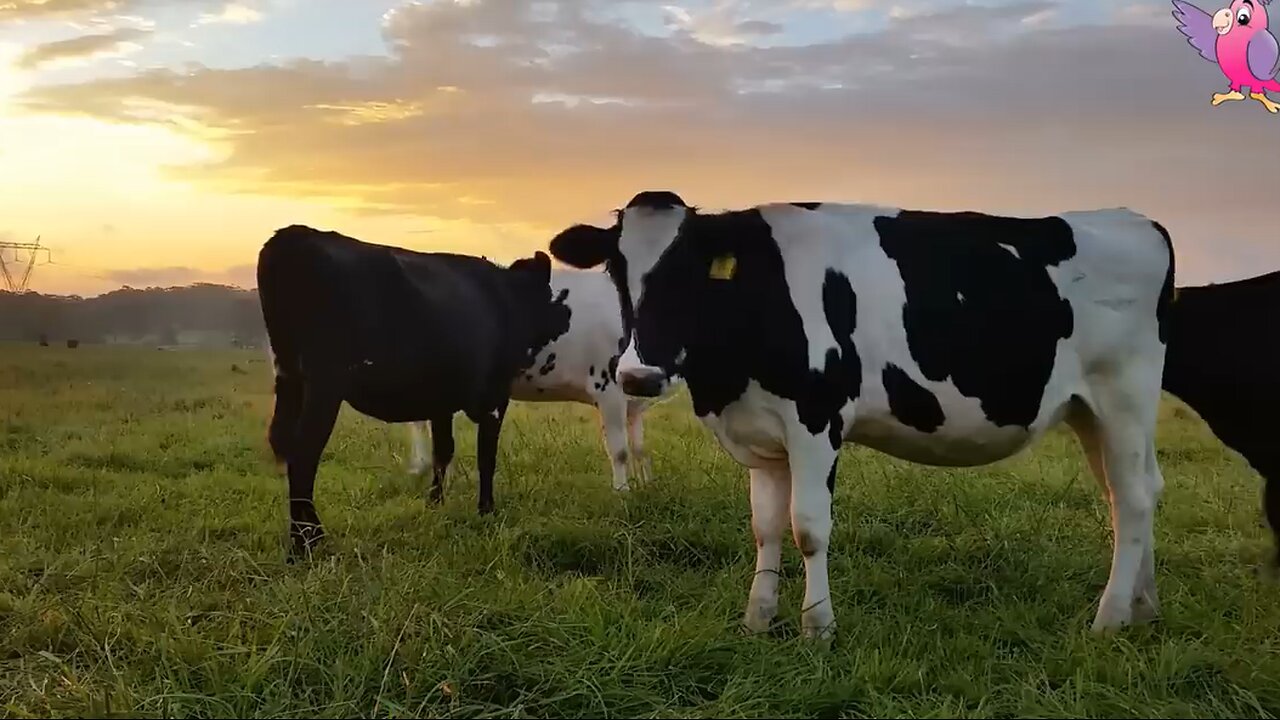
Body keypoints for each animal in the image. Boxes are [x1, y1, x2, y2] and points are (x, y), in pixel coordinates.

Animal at [257, 224, 568, 556]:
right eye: (548, 293)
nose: (565, 317)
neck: (506, 300)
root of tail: (296, 235)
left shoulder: (441, 402)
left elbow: (443, 450)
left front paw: (435, 502)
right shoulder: (496, 397)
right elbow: (487, 456)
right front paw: (486, 509)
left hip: (289, 377)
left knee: (286, 443)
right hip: (324, 383)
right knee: (304, 452)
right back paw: (305, 542)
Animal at [404, 266, 686, 489]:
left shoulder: (634, 402)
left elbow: (640, 448)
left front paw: (647, 485)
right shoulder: (608, 388)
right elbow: (620, 451)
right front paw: (622, 494)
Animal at [545, 189, 1172, 632]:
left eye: (692, 273)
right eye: (617, 271)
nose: (638, 376)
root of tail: (1136, 220)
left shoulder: (816, 421)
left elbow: (808, 528)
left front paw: (817, 627)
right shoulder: (762, 434)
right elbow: (764, 527)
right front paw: (757, 619)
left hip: (1125, 395)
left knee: (1134, 500)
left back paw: (1108, 618)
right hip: (1089, 410)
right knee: (1130, 493)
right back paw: (1142, 607)